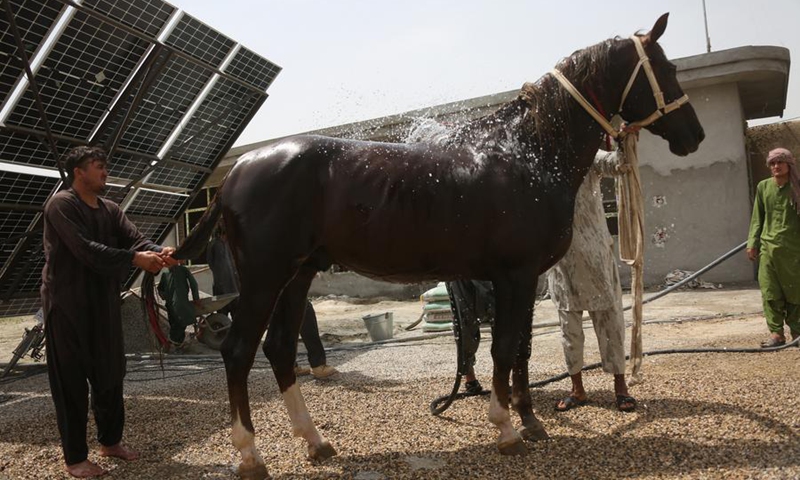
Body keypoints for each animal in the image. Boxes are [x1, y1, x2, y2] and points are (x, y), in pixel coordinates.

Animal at [142, 13, 700, 478]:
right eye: (666, 67)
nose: (693, 135)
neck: (526, 153)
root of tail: (237, 172)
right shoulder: (515, 276)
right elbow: (502, 349)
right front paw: (506, 429)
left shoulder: (523, 279)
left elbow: (519, 348)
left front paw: (530, 421)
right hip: (265, 277)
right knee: (239, 352)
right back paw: (251, 455)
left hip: (297, 275)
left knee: (279, 348)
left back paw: (315, 442)